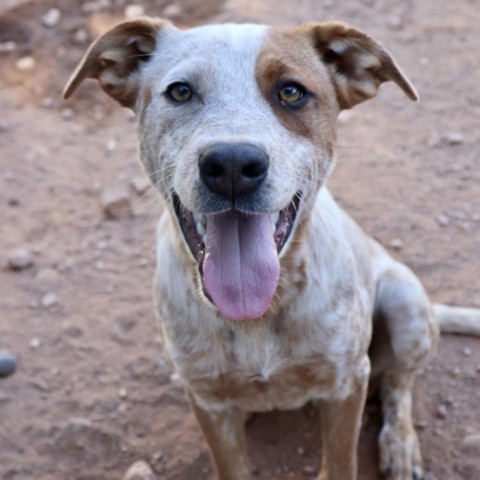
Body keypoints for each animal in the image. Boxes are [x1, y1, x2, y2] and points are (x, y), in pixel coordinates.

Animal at [63, 16, 480, 478]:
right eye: (181, 91)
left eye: (291, 92)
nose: (231, 165)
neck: (258, 315)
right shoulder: (207, 401)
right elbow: (231, 464)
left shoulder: (347, 382)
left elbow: (341, 460)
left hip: (405, 302)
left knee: (398, 384)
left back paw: (400, 443)